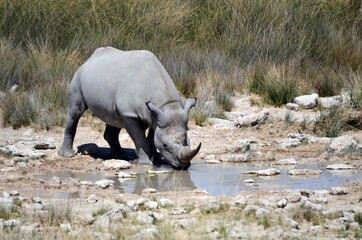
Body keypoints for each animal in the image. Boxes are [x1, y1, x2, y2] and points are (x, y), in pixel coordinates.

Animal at [58, 46, 201, 169]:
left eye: (188, 141)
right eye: (165, 146)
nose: (183, 166)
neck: (166, 105)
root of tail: (87, 60)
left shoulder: (156, 114)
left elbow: (152, 136)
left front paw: (156, 158)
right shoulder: (131, 114)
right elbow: (140, 138)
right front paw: (145, 163)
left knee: (113, 118)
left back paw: (120, 155)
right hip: (78, 77)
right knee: (75, 111)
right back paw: (67, 154)